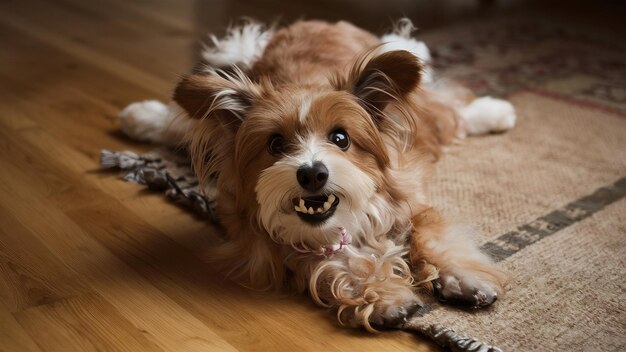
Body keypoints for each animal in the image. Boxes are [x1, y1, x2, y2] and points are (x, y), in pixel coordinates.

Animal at [117, 18, 512, 332]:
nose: (312, 174)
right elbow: (339, 261)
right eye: (275, 144)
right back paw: (139, 116)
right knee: (179, 123)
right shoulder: (280, 242)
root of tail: (310, 22)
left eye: (341, 138)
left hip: (426, 108)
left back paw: (496, 112)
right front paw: (384, 297)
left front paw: (464, 277)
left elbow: (431, 236)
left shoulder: (411, 201)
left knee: (449, 110)